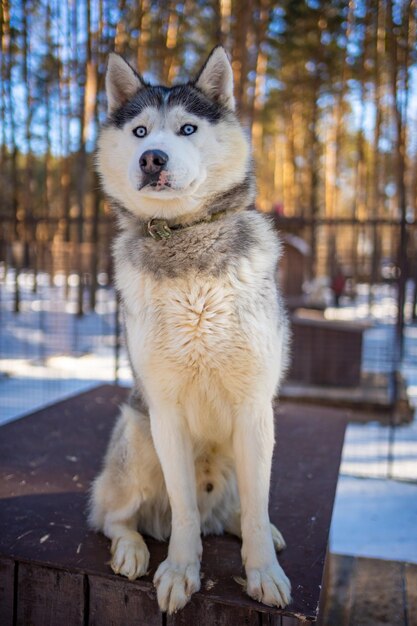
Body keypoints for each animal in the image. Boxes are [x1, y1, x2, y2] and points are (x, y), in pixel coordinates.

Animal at [88, 46, 290, 612]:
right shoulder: (166, 414)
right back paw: (132, 549)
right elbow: (183, 513)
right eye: (139, 131)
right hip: (137, 434)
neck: (184, 242)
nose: (152, 158)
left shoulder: (255, 410)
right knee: (113, 518)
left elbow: (257, 509)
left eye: (186, 128)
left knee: (239, 512)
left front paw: (263, 572)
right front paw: (180, 570)